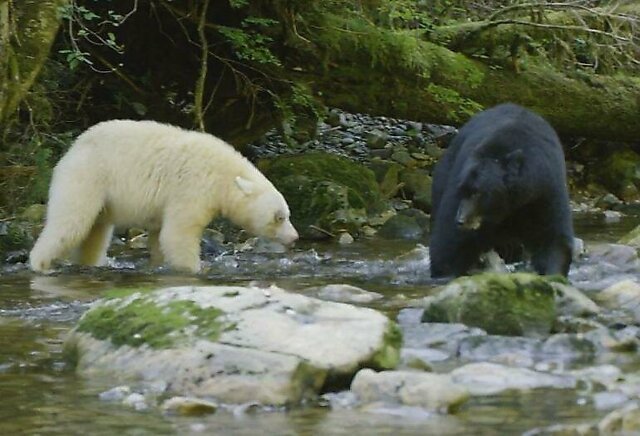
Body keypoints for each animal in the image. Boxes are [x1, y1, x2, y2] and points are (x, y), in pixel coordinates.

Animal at [28, 119, 298, 274]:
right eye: (279, 217)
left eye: (287, 214)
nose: (295, 238)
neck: (224, 174)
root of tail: (73, 149)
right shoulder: (193, 187)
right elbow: (179, 234)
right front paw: (196, 269)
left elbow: (160, 237)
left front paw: (158, 264)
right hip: (88, 177)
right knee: (71, 223)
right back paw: (40, 265)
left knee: (95, 232)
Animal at [430, 104, 576, 278]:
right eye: (463, 191)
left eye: (477, 192)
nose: (460, 220)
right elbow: (448, 242)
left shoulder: (547, 190)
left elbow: (553, 237)